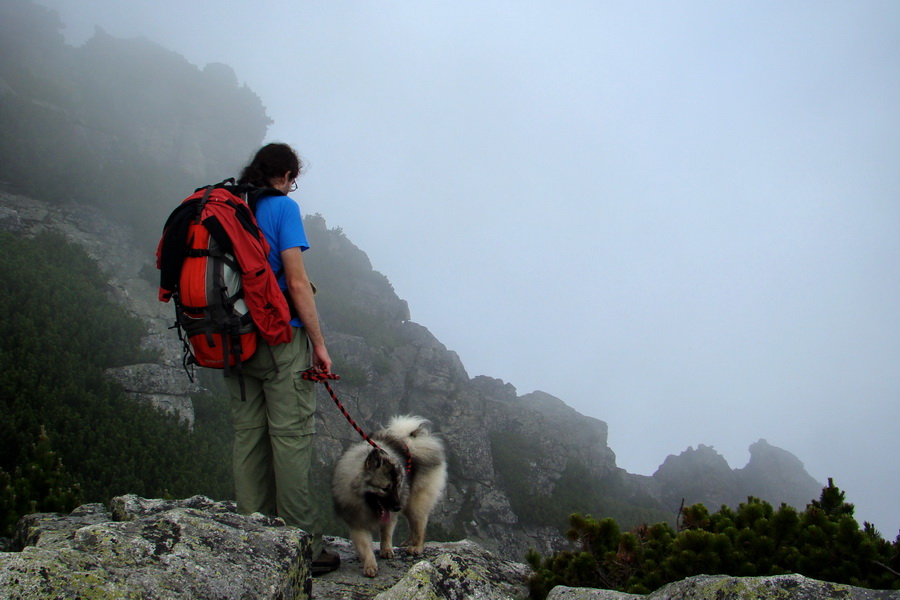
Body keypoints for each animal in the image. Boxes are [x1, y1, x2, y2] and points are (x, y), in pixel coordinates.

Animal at [332, 418, 448, 576]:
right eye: (385, 488)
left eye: (398, 486)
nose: (397, 507)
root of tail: (411, 441)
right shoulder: (357, 521)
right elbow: (365, 545)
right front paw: (369, 564)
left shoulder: (390, 514)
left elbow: (386, 532)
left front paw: (386, 550)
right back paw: (409, 541)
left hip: (415, 502)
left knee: (419, 524)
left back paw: (416, 546)